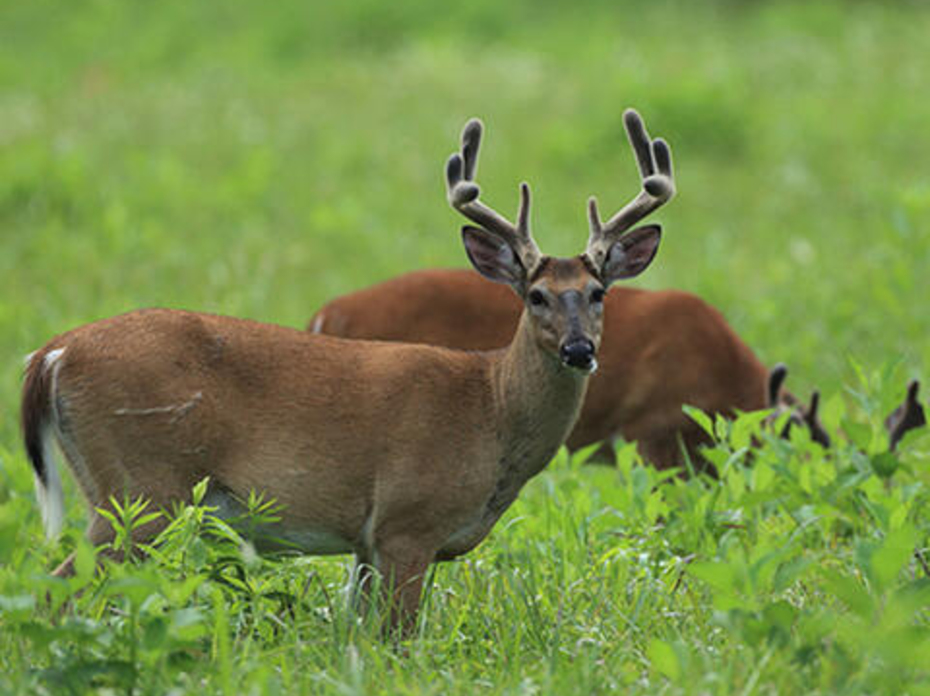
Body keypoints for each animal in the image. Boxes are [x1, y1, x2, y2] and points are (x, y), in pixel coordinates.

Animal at [21, 109, 674, 636]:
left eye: (598, 293)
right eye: (536, 296)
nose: (578, 350)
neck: (491, 409)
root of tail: (53, 353)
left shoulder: (364, 543)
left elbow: (357, 637)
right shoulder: (407, 522)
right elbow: (397, 639)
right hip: (140, 490)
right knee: (56, 589)